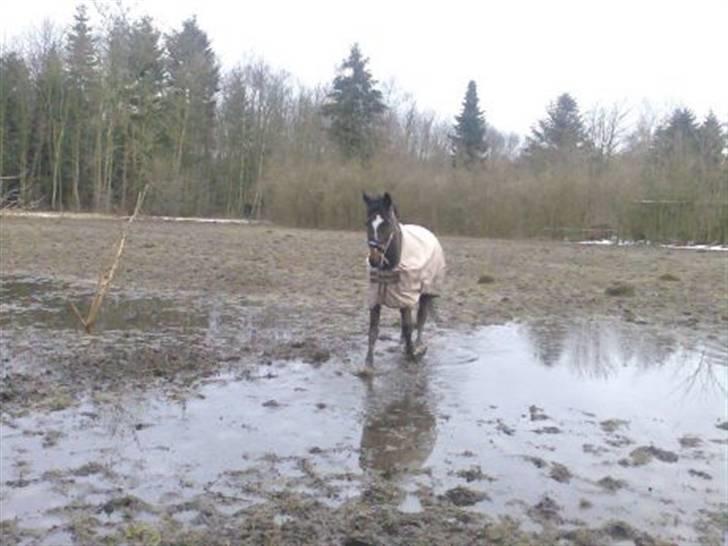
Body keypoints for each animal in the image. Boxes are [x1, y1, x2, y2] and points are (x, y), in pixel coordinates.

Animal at [362, 189, 444, 368]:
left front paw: (413, 354)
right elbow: (373, 330)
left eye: (386, 224)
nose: (374, 259)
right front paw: (368, 365)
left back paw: (418, 344)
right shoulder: (375, 298)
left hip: (425, 293)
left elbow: (409, 326)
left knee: (420, 320)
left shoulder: (406, 297)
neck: (390, 266)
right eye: (367, 223)